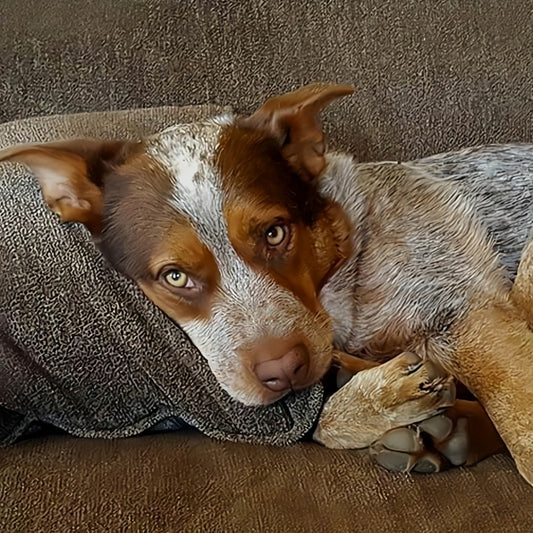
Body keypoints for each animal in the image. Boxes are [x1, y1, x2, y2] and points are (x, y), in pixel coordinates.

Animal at [0, 84, 528, 482]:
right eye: (175, 276)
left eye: (274, 232)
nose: (283, 370)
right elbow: (321, 419)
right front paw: (369, 395)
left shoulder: (464, 312)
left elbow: (519, 424)